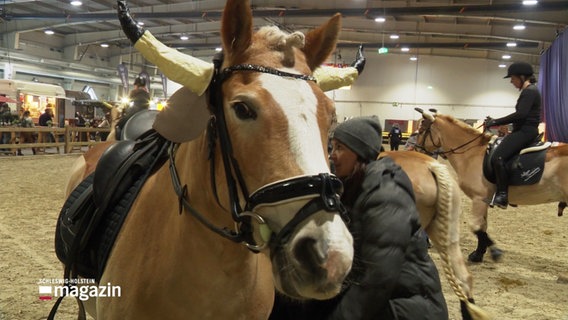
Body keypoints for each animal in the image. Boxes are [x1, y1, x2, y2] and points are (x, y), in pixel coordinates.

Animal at [412, 109, 568, 264]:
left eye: (422, 130)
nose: (415, 151)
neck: (471, 153)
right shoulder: (484, 199)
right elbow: (483, 226)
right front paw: (478, 254)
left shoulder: (478, 198)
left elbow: (476, 227)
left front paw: (494, 252)